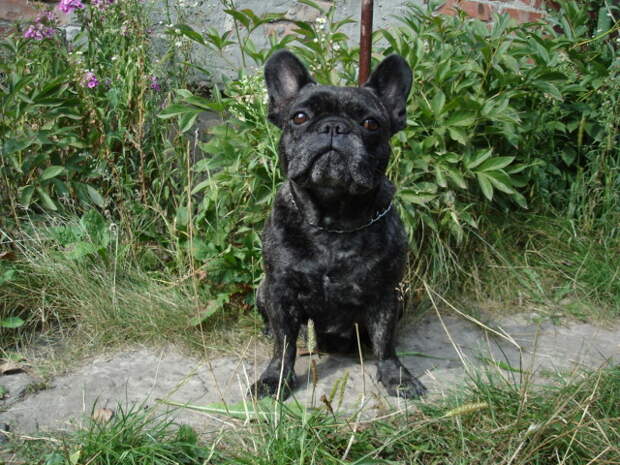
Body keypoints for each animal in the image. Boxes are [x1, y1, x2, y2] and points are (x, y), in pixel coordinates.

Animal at [251, 49, 426, 400]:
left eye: (371, 123)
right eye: (299, 117)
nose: (334, 126)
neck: (333, 220)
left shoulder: (385, 293)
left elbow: (385, 341)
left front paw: (395, 376)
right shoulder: (280, 291)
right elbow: (284, 344)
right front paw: (275, 378)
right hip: (263, 290)